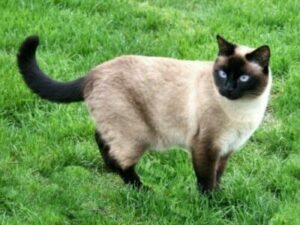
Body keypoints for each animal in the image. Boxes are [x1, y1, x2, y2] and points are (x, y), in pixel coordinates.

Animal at [17, 35, 272, 193]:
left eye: (243, 78)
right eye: (222, 73)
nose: (227, 88)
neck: (245, 109)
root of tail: (92, 73)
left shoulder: (226, 150)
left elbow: (217, 177)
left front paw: (219, 198)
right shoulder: (205, 147)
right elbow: (206, 181)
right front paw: (209, 206)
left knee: (101, 139)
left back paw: (112, 169)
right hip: (136, 136)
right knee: (122, 162)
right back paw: (144, 191)